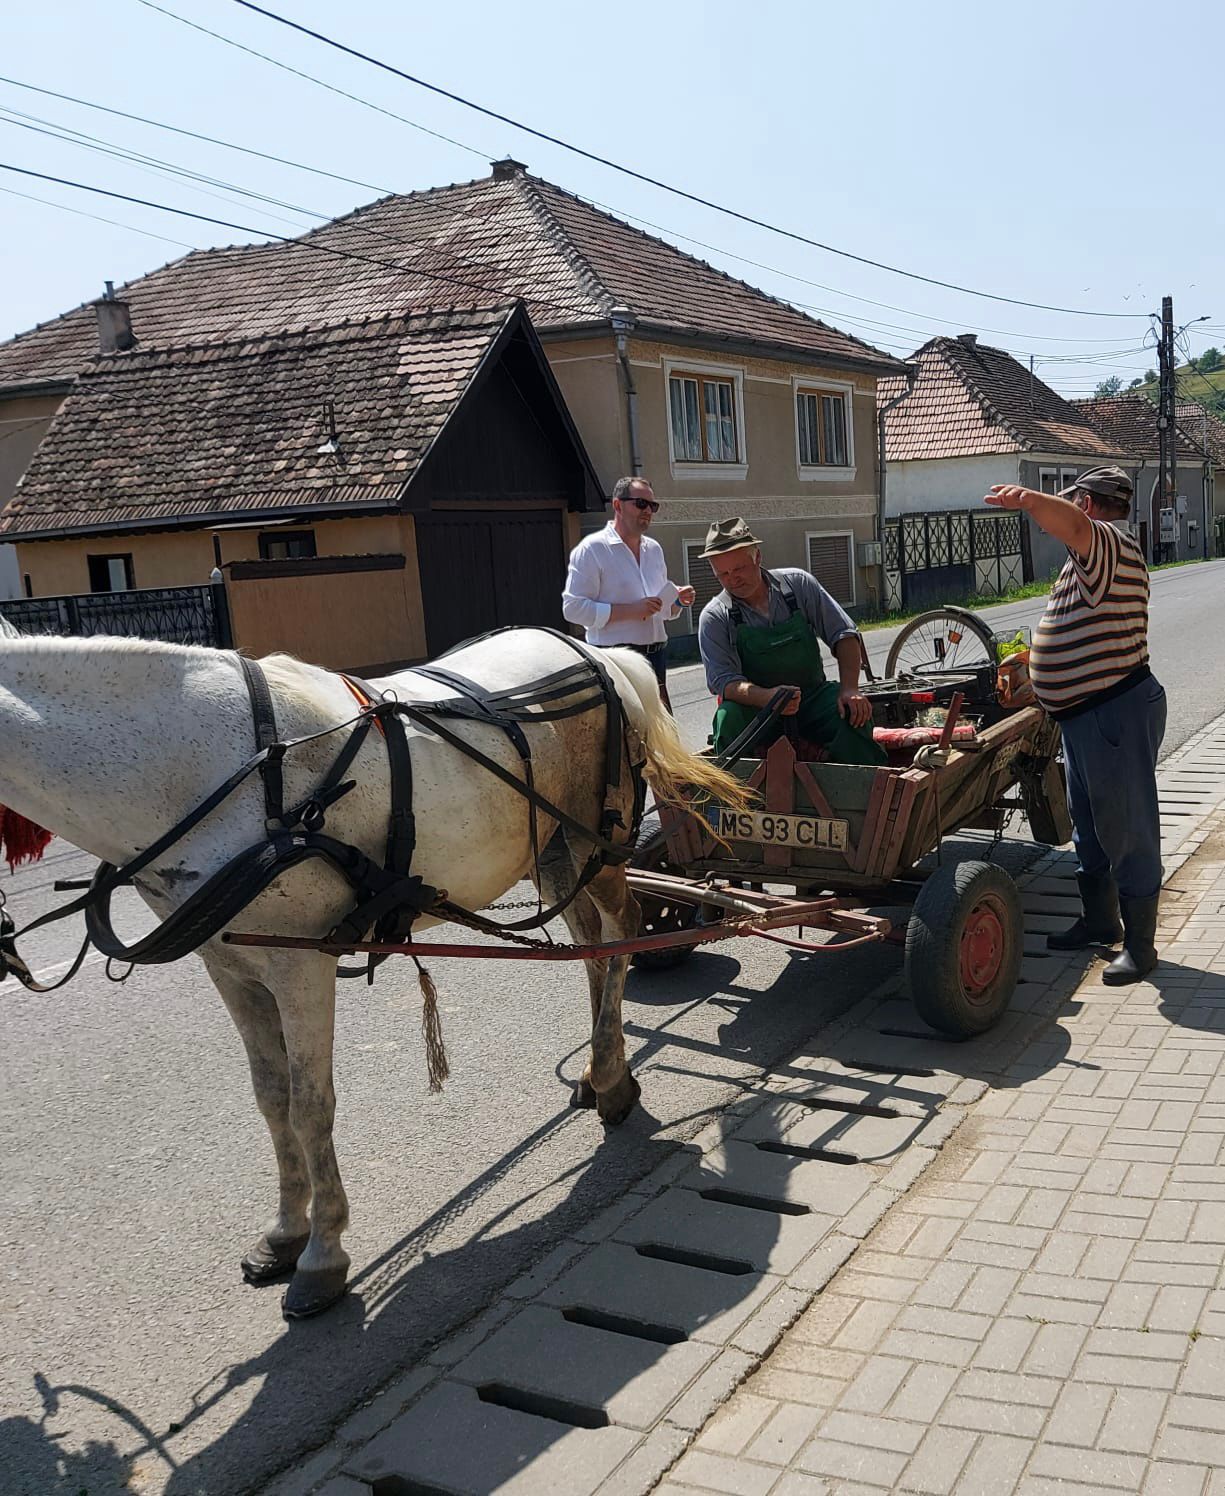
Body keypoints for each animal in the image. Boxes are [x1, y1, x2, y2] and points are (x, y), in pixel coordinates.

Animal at [0, 619, 747, 1322]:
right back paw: (596, 1072)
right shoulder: (232, 967)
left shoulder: (298, 967)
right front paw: (284, 1233)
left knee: (617, 941)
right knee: (589, 950)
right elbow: (270, 1098)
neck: (216, 770)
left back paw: (615, 1082)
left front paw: (322, 1256)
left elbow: (309, 1106)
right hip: (553, 854)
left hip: (597, 843)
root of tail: (597, 653)